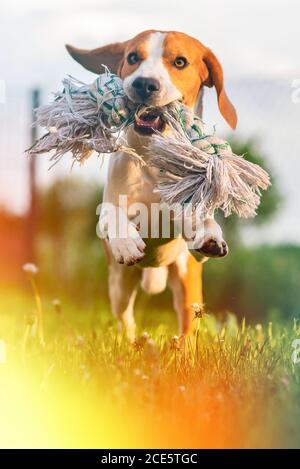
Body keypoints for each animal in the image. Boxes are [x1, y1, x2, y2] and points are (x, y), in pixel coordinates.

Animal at [65, 30, 237, 340]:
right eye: (133, 57)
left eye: (180, 62)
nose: (144, 84)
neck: (155, 157)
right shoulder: (108, 209)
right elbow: (111, 214)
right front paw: (124, 241)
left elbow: (200, 220)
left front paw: (210, 234)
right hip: (119, 286)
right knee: (126, 319)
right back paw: (133, 343)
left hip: (188, 282)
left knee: (188, 323)